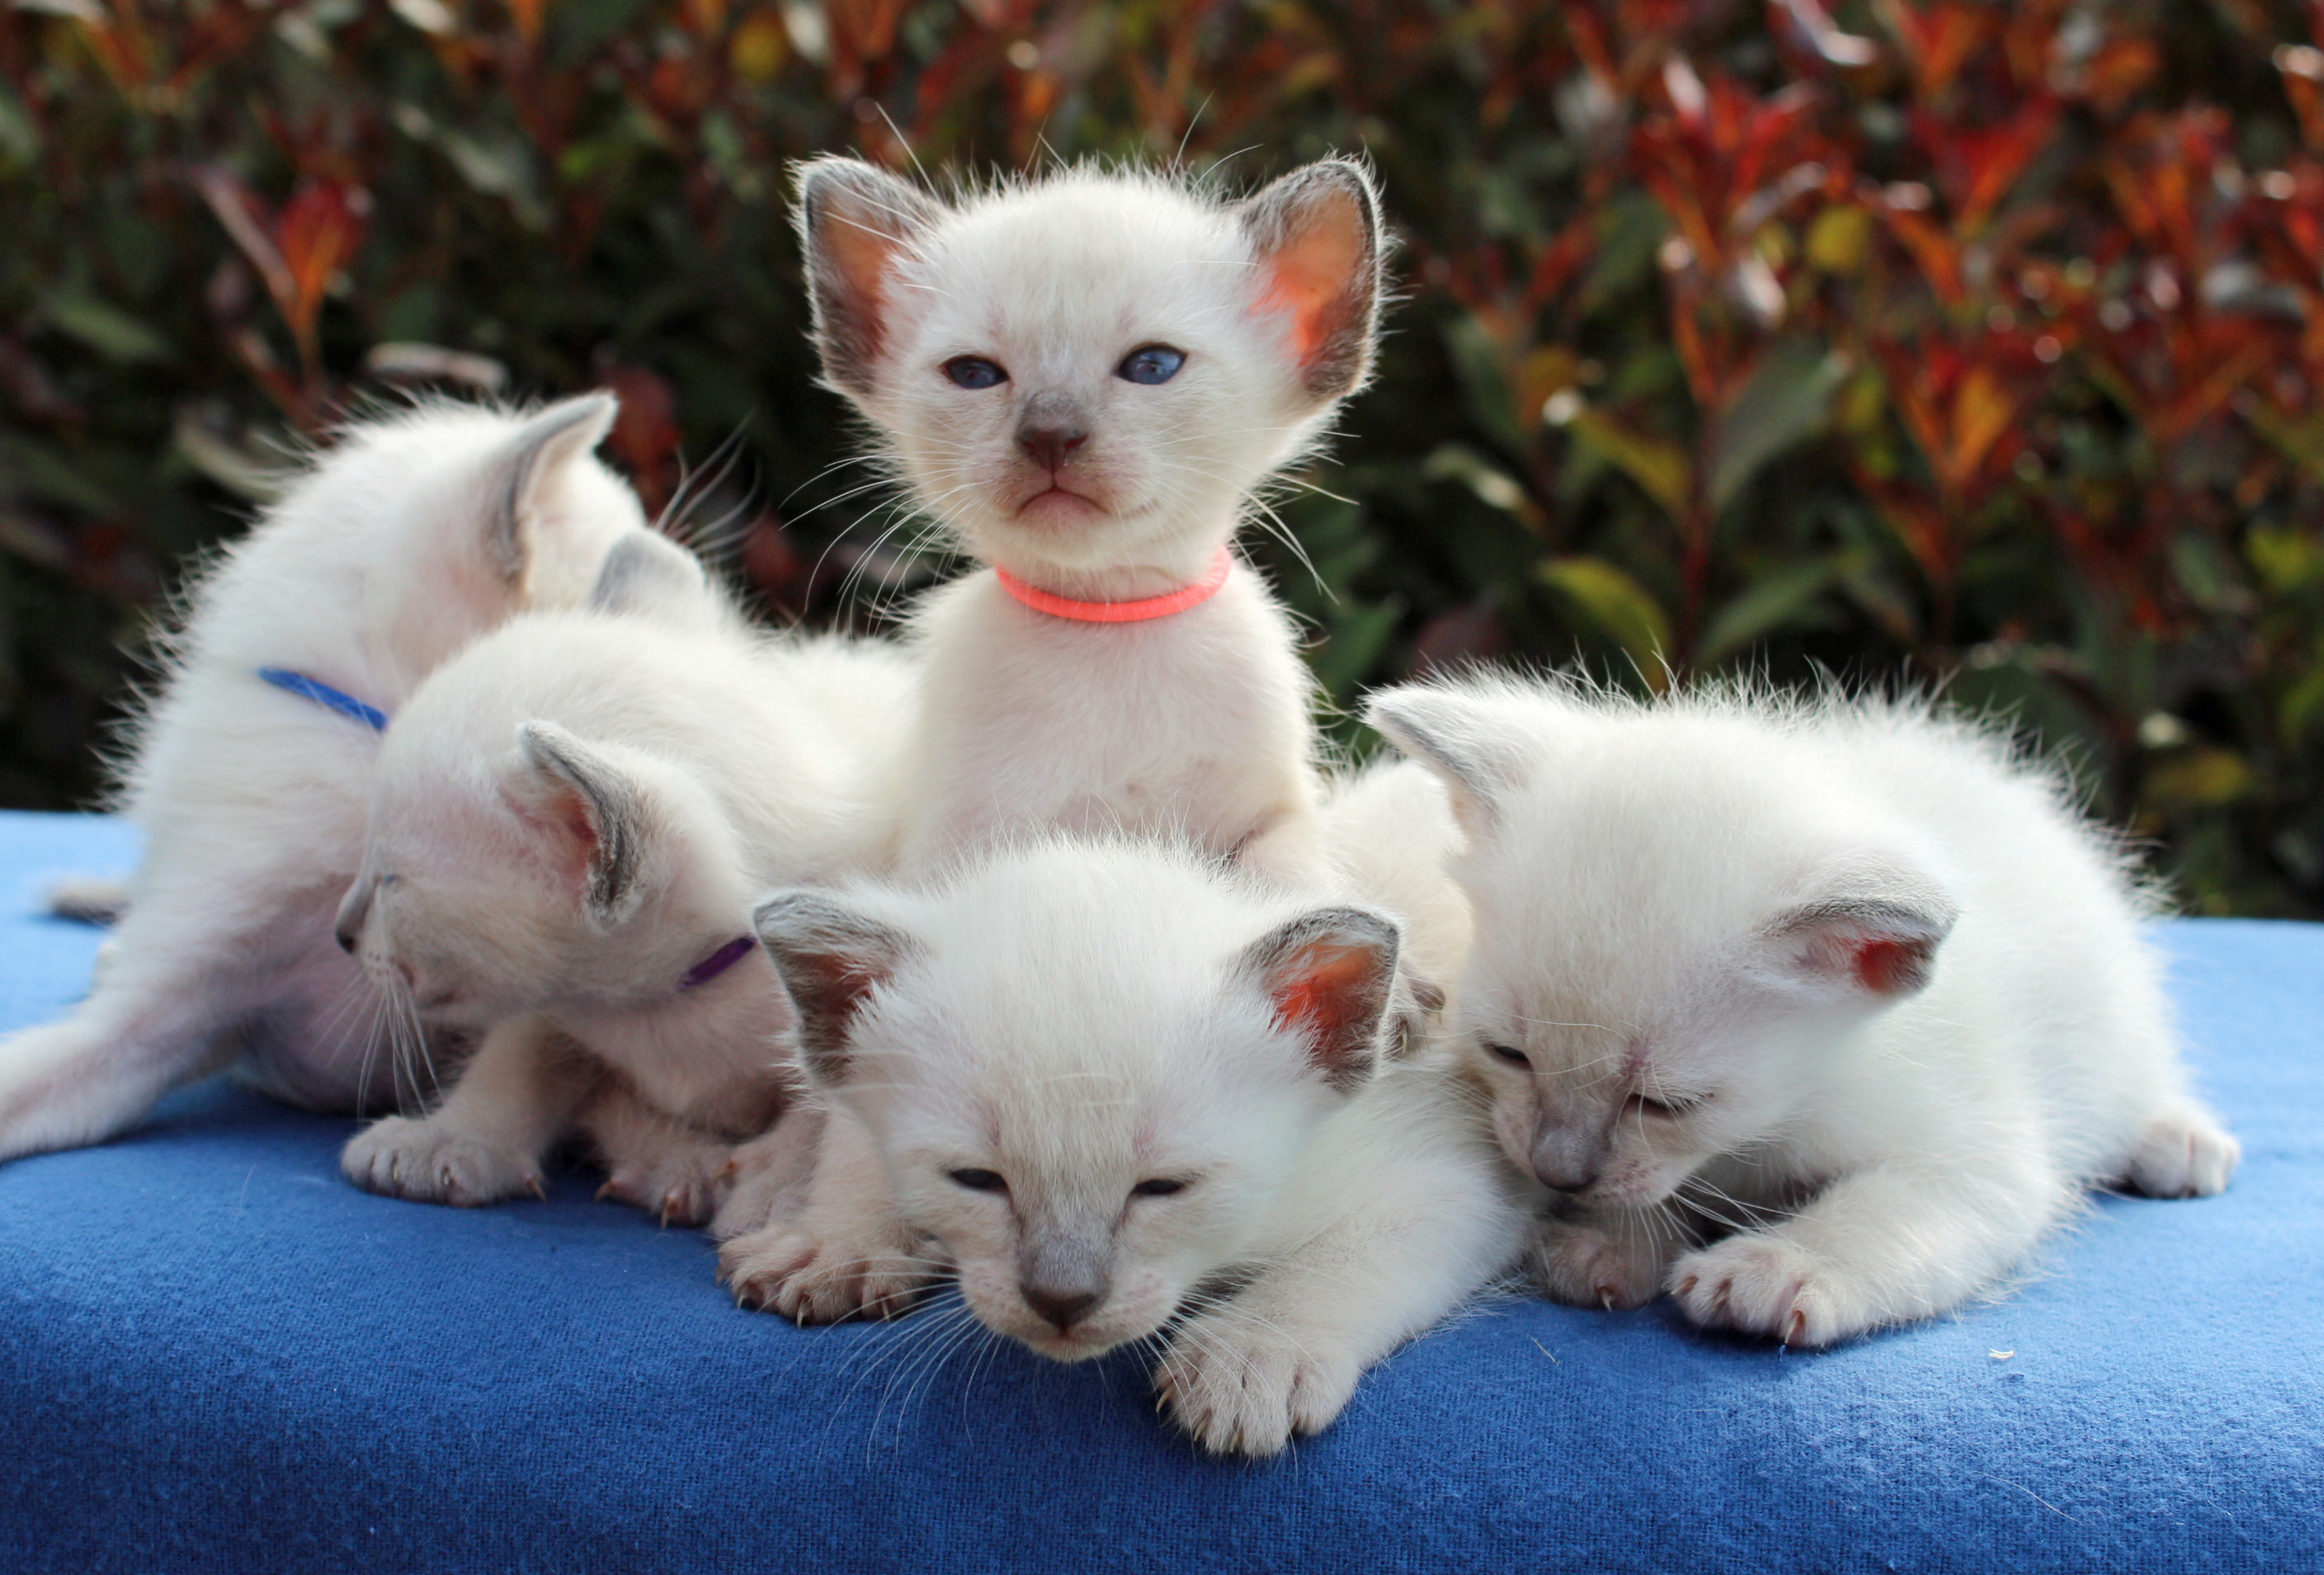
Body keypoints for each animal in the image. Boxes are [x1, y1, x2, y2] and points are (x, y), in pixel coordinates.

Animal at [335, 531, 919, 1223]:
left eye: (390, 879)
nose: (341, 932)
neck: (680, 1010)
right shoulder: (564, 1004)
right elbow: (521, 1051)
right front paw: (449, 1138)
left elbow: (823, 1107)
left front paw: (781, 1196)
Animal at [723, 837, 1529, 1457]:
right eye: (975, 1179)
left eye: (1164, 1187)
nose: (1061, 1299)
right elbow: (849, 1131)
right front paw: (839, 1240)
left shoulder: (1458, 1171)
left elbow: (1355, 1254)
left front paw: (1253, 1356)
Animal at [793, 153, 1387, 879]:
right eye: (972, 373)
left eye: (1152, 366)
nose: (1050, 434)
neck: (1107, 617)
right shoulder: (954, 850)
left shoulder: (1275, 816)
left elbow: (1289, 875)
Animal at [1365, 674, 2242, 1347]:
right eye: (1507, 1052)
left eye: (1666, 1101)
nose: (1557, 1170)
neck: (1774, 1126)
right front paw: (1608, 1243)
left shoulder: (1974, 1154)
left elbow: (1887, 1213)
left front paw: (1778, 1268)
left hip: (2110, 1013)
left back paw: (2177, 1136)